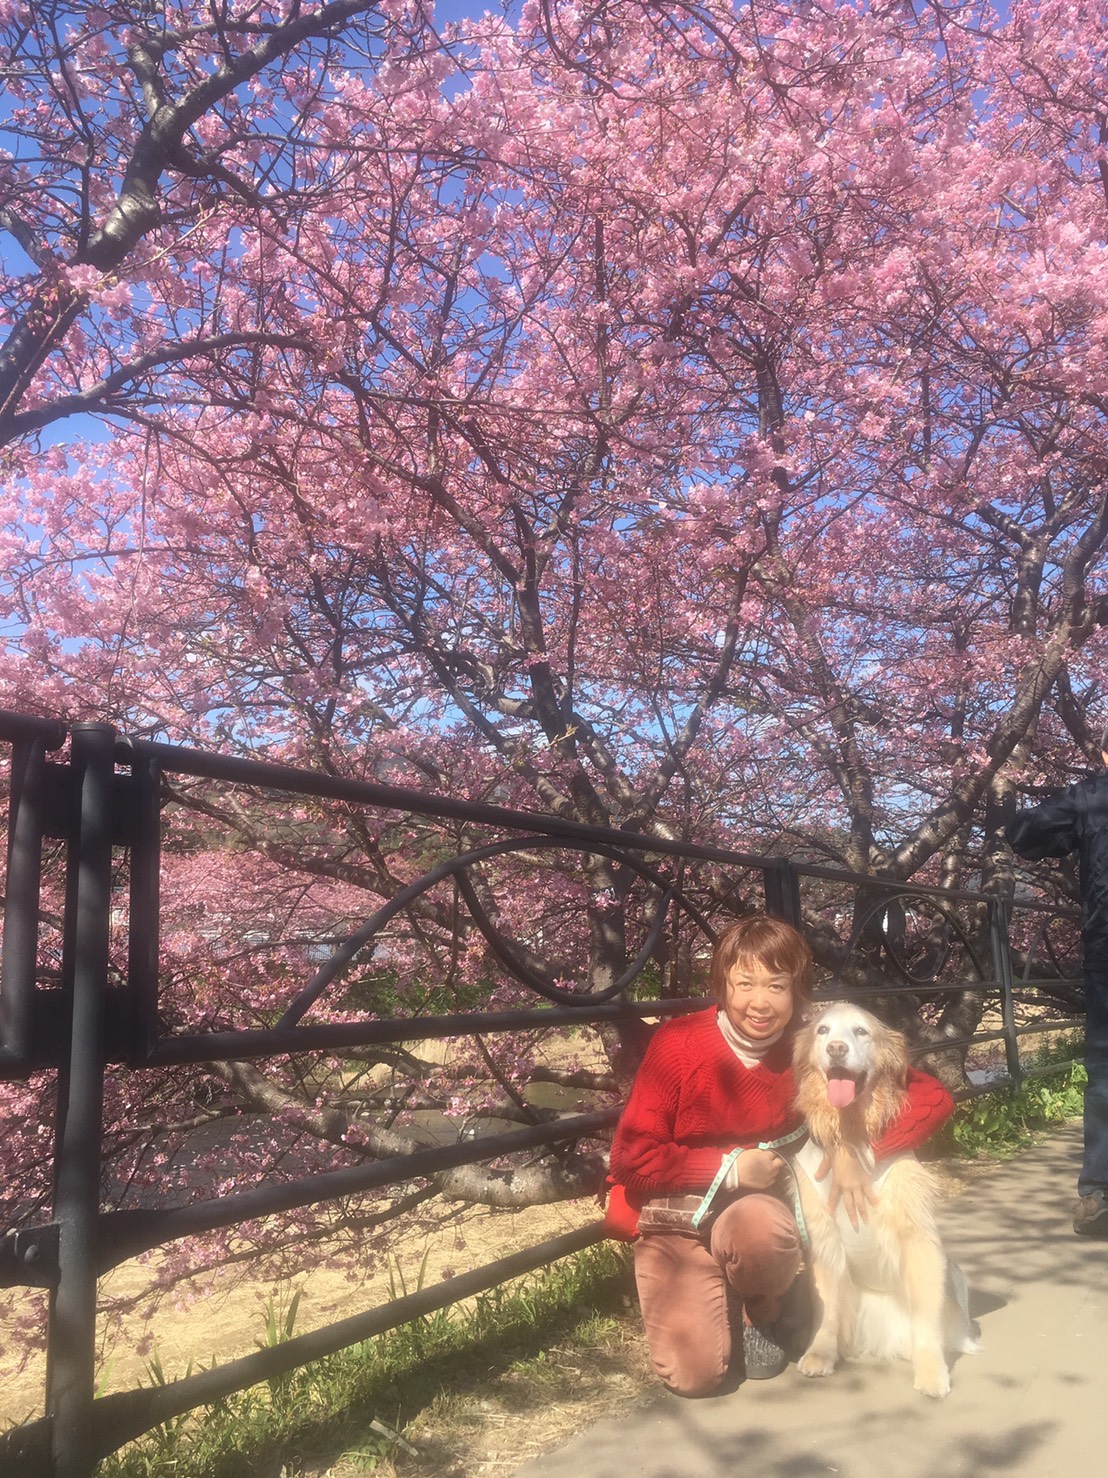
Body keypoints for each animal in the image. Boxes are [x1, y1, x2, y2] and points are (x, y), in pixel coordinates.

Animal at [790, 1002, 978, 1398]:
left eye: (861, 1031)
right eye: (823, 1030)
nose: (836, 1049)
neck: (850, 1129)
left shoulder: (917, 1238)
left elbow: (926, 1319)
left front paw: (931, 1372)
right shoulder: (823, 1239)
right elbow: (826, 1308)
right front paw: (820, 1353)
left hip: (951, 1275)